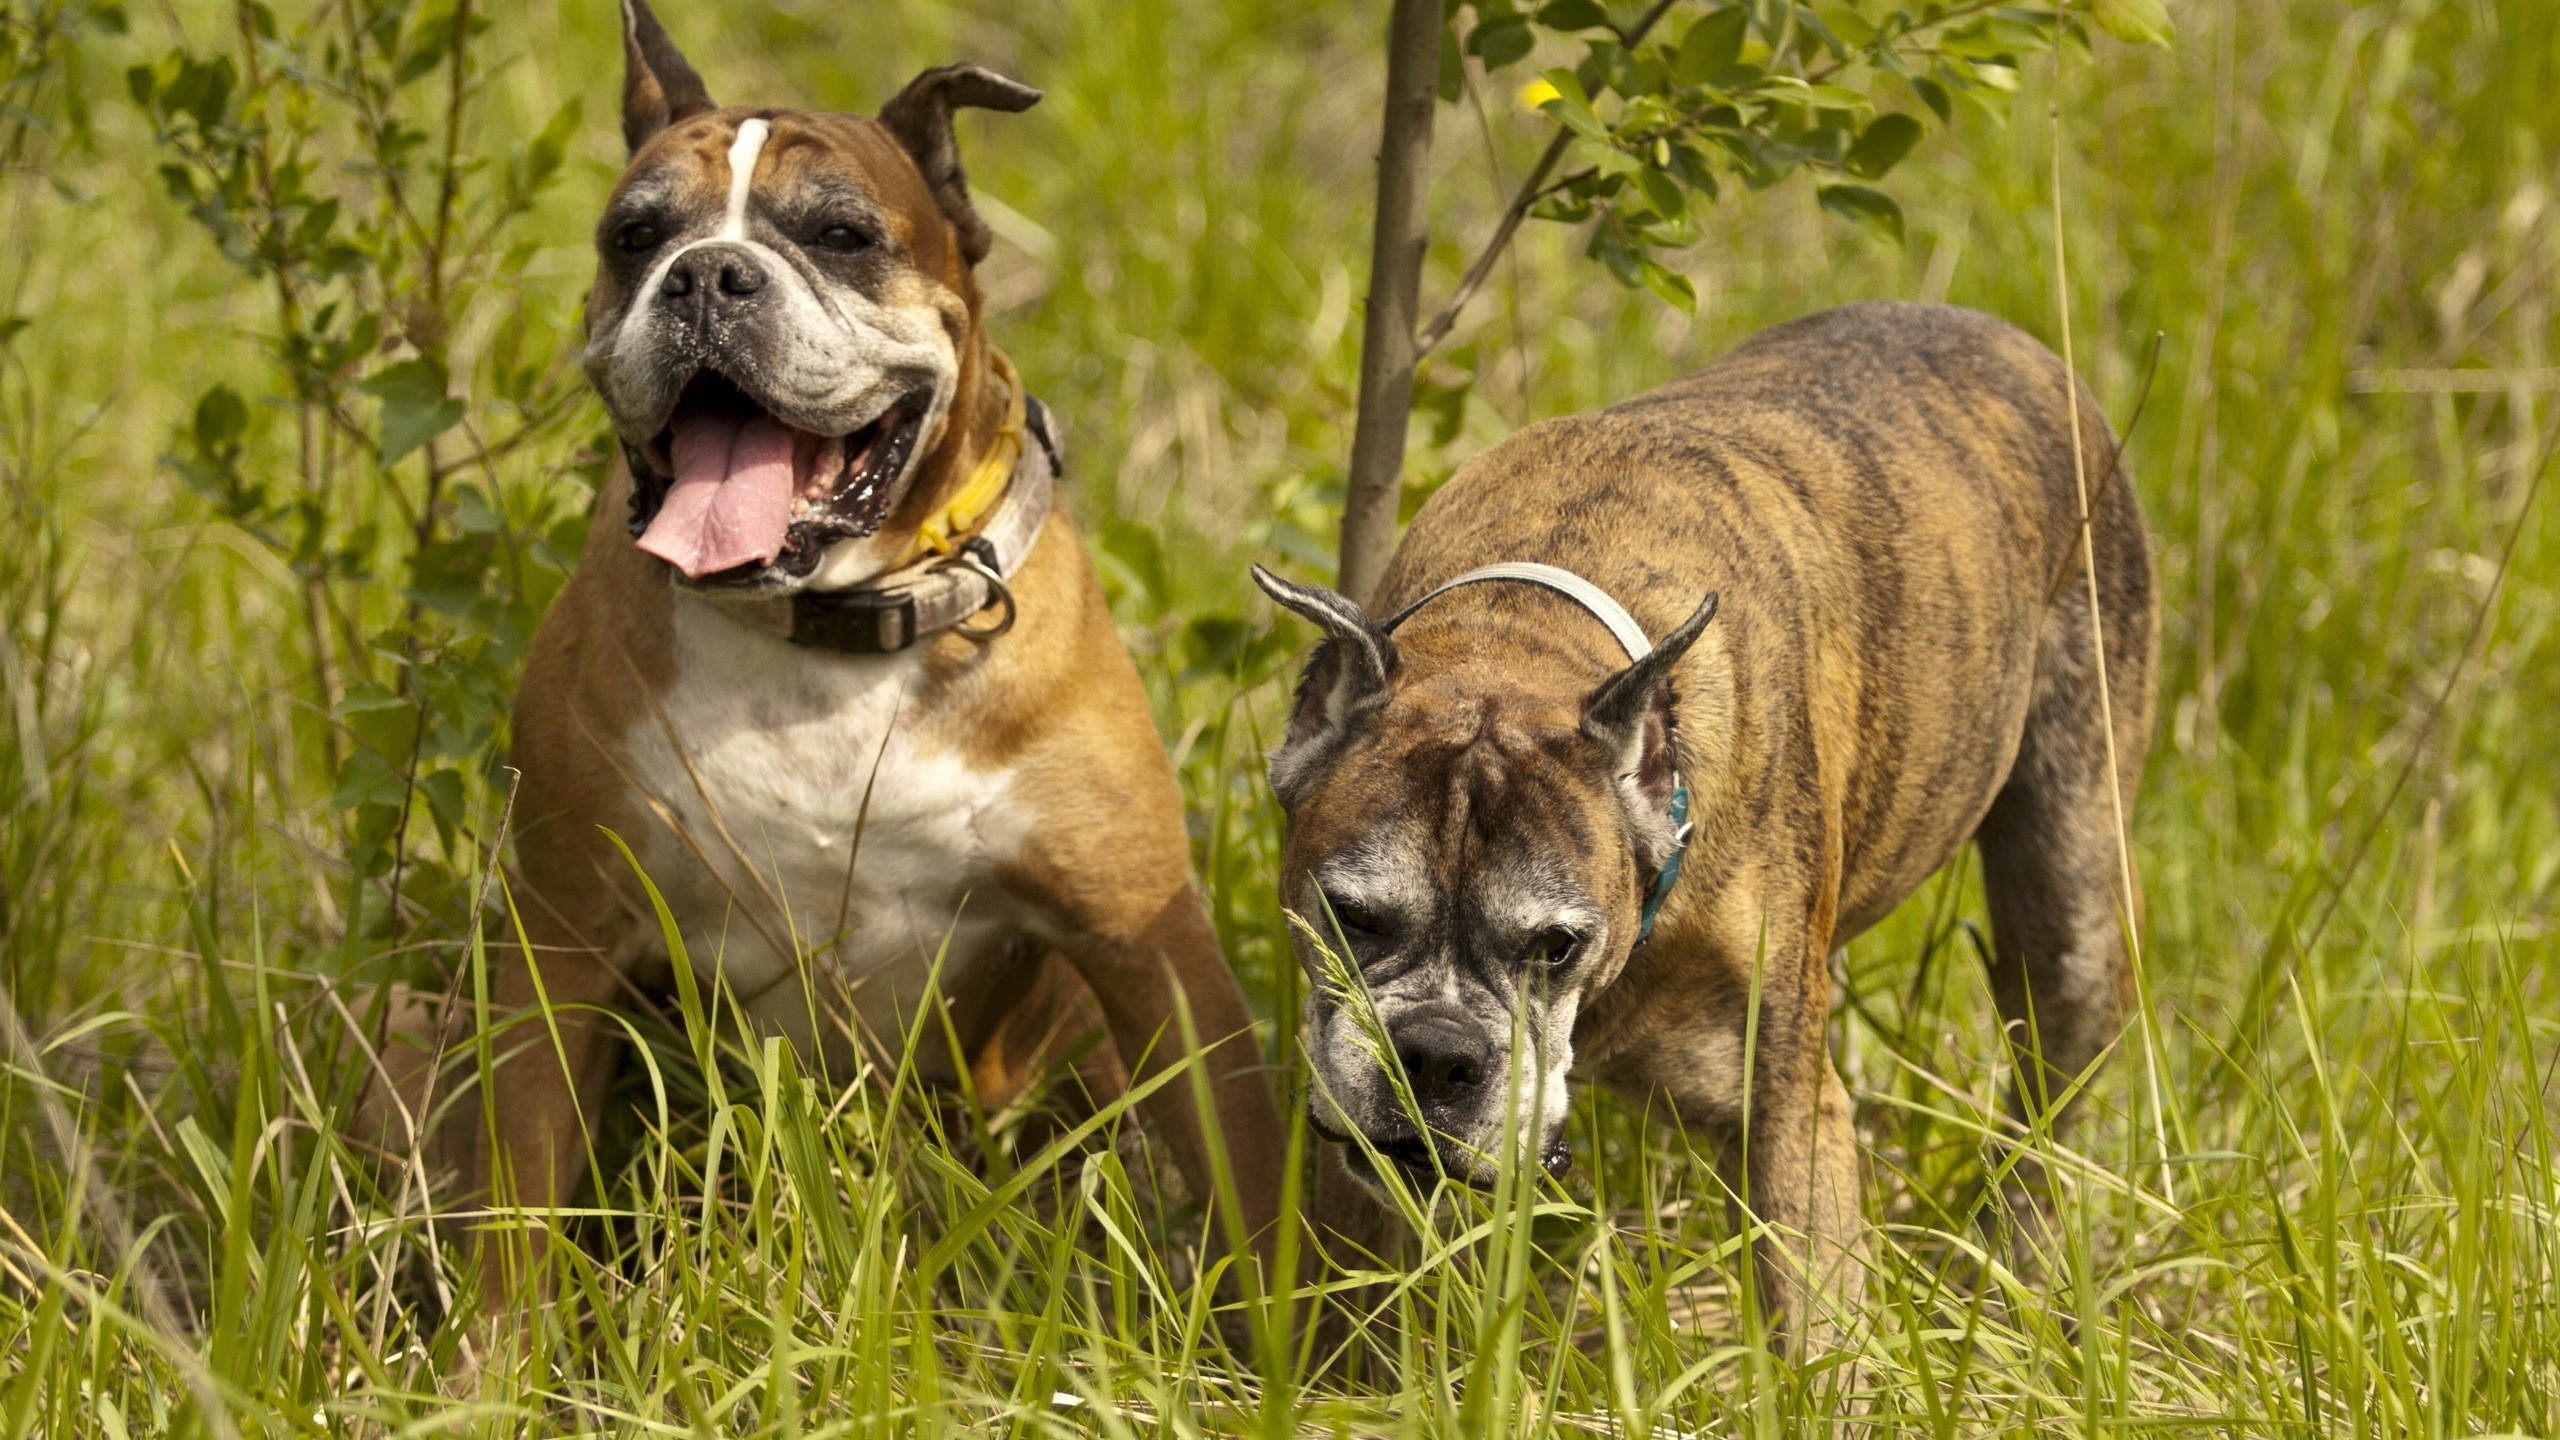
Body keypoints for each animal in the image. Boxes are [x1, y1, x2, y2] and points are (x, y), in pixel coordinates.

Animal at [424, 0, 1300, 1322]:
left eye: (840, 235)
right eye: (635, 237)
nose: (707, 275)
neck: (825, 635)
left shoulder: (1147, 950)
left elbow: (1246, 1185)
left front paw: (1300, 1350)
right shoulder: (560, 937)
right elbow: (516, 1207)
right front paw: (495, 1357)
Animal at [1259, 302, 2160, 1342]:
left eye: (1557, 945)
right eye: (1351, 916)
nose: (1437, 1054)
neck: (1519, 641)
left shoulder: (1788, 1123)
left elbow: (1811, 1327)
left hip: (2072, 906)